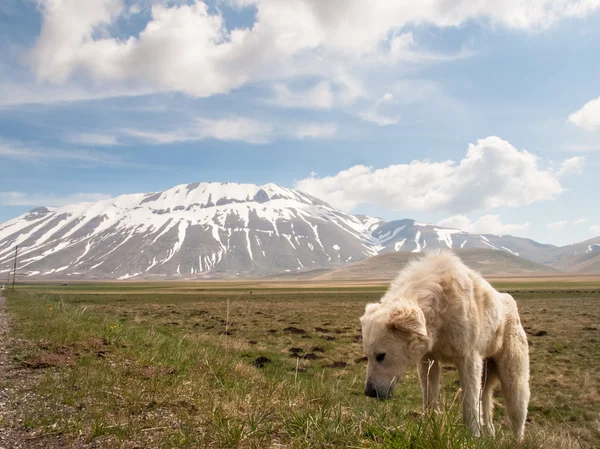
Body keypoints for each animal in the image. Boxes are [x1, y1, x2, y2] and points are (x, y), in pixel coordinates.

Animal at [360, 250, 528, 436]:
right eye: (367, 356)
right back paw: (489, 435)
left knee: (516, 412)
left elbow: (469, 404)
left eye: (381, 356)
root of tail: (510, 302)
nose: (369, 392)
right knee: (485, 403)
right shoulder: (427, 360)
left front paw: (472, 436)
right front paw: (429, 428)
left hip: (513, 376)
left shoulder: (469, 360)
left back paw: (515, 438)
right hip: (487, 373)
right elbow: (430, 399)